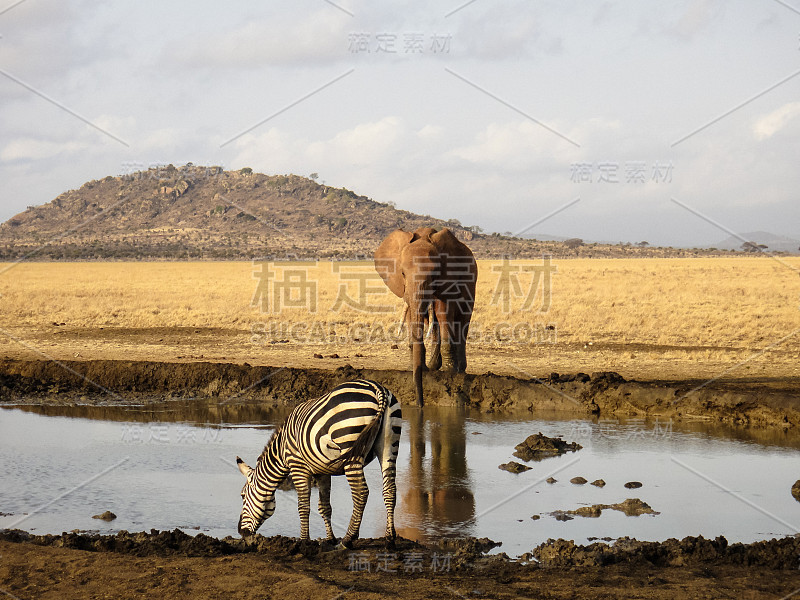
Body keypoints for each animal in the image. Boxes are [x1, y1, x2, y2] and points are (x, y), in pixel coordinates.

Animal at [236, 380, 400, 548]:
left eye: (242, 496)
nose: (241, 532)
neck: (281, 451)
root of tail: (377, 388)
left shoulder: (298, 466)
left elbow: (303, 506)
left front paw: (303, 541)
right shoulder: (322, 471)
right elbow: (324, 507)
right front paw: (330, 539)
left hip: (351, 447)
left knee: (361, 492)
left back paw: (348, 539)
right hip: (389, 444)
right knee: (390, 490)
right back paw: (389, 538)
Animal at [374, 227, 478, 406]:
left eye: (434, 275)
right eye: (402, 273)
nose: (420, 405)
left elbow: (443, 310)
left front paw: (449, 370)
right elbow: (412, 312)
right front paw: (419, 367)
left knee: (462, 321)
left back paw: (459, 370)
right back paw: (434, 365)